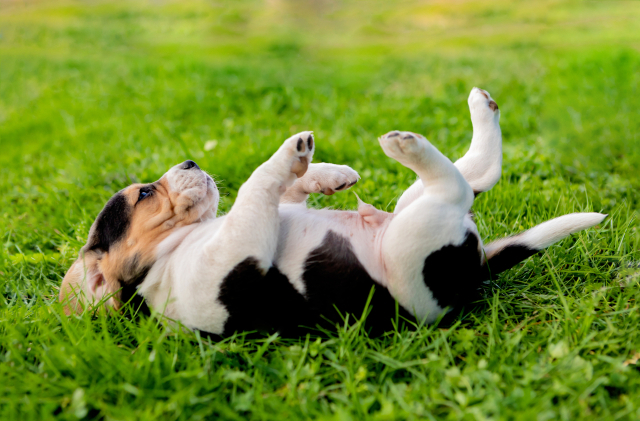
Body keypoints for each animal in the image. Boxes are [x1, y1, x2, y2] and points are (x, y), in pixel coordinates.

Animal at [58, 88, 604, 334]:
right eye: (146, 195)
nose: (191, 162)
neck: (167, 257)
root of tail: (476, 266)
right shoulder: (232, 253)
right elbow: (256, 186)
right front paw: (290, 154)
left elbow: (279, 192)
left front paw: (326, 172)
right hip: (414, 240)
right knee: (455, 186)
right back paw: (407, 144)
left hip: (409, 210)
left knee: (475, 175)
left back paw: (477, 108)